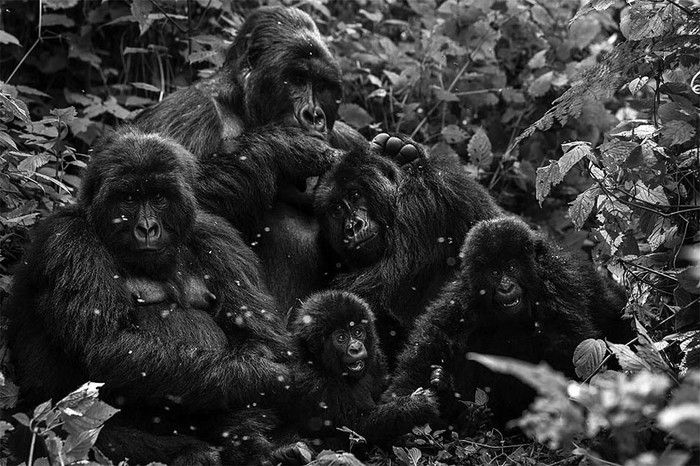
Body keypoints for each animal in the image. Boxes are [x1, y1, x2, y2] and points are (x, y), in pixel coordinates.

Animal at [2, 125, 304, 464]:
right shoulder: (68, 242)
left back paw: (257, 446)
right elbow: (107, 345)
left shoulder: (220, 238)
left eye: (158, 197)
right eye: (129, 199)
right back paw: (192, 452)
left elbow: (259, 336)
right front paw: (265, 375)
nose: (147, 228)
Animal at [284, 292, 438, 452]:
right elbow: (354, 429)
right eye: (341, 338)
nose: (356, 348)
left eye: (358, 332)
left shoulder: (376, 358)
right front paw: (414, 406)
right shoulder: (316, 382)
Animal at [386, 218, 632, 430]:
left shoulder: (557, 282)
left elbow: (569, 349)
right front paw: (405, 410)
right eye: (495, 273)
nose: (506, 287)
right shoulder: (464, 296)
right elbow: (433, 341)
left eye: (512, 268)